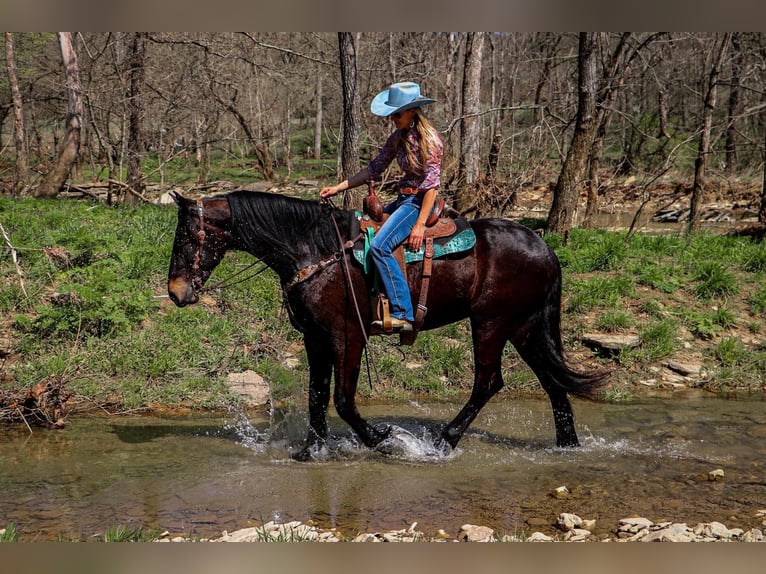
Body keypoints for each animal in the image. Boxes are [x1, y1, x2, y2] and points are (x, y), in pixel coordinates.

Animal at [168, 191, 608, 462]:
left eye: (187, 238)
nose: (175, 292)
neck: (315, 250)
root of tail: (543, 247)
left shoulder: (347, 337)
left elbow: (343, 400)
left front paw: (383, 441)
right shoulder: (315, 338)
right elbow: (316, 396)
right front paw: (311, 451)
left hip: (491, 324)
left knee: (489, 382)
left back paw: (443, 442)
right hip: (524, 327)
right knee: (553, 383)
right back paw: (568, 447)